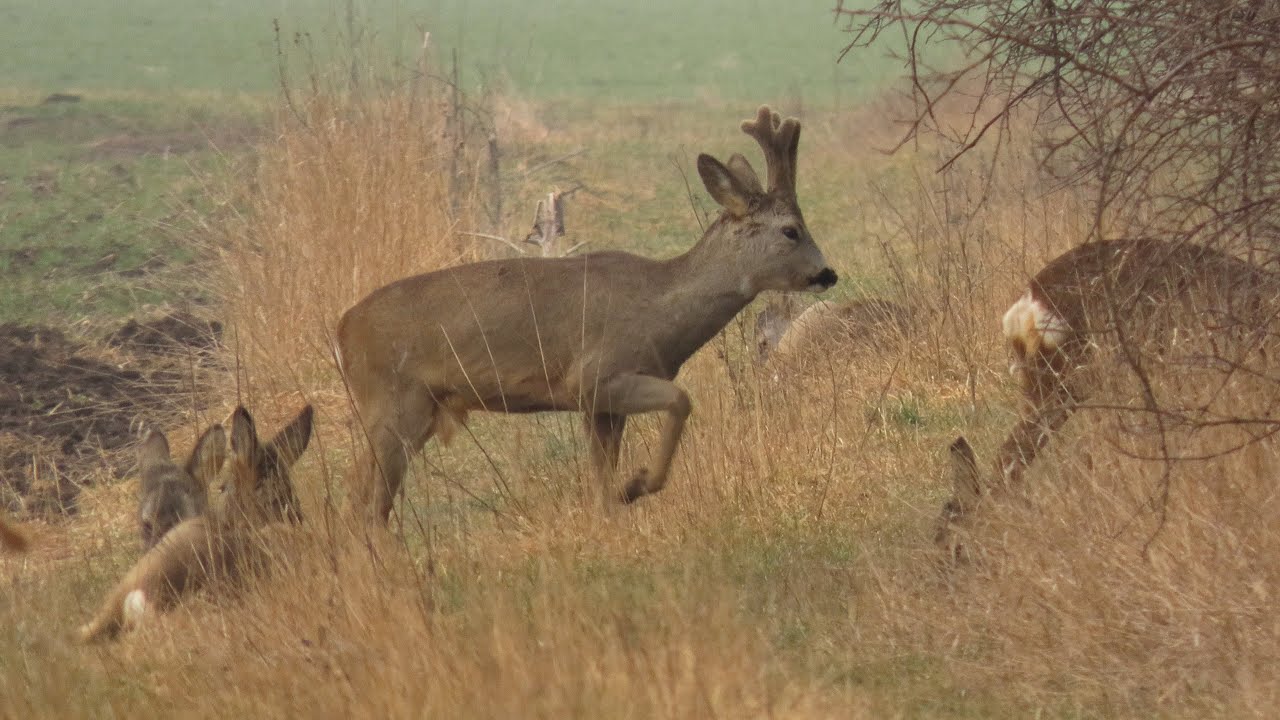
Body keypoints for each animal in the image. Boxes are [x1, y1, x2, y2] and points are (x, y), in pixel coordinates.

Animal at [337, 105, 839, 524]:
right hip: (393, 401)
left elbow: (600, 476)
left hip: (419, 408)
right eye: (791, 230)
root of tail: (342, 330)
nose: (827, 273)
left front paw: (615, 504)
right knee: (365, 498)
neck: (660, 311)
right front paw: (637, 485)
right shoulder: (596, 374)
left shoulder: (600, 405)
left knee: (366, 494)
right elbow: (681, 400)